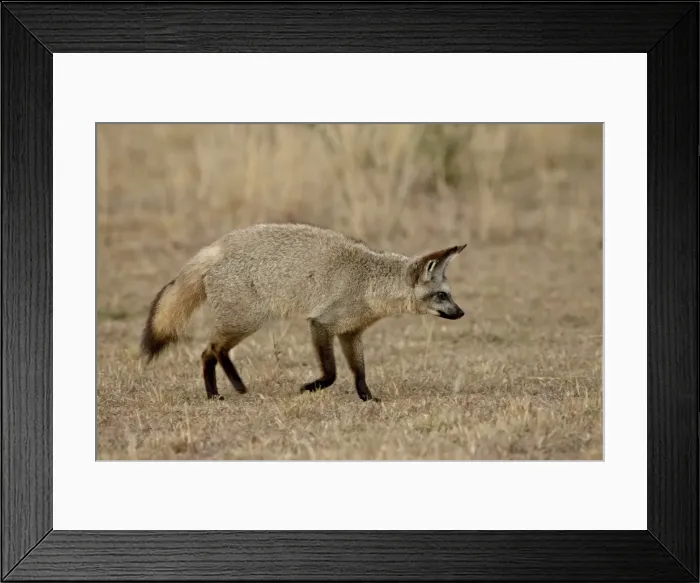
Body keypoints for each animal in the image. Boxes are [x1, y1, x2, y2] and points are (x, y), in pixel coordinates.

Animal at [140, 222, 467, 402]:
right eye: (442, 295)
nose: (462, 313)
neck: (369, 282)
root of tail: (217, 247)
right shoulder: (321, 324)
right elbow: (332, 373)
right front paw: (311, 387)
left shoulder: (350, 333)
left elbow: (359, 371)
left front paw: (367, 397)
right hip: (246, 322)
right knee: (212, 350)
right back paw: (229, 388)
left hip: (241, 323)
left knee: (210, 352)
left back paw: (221, 392)